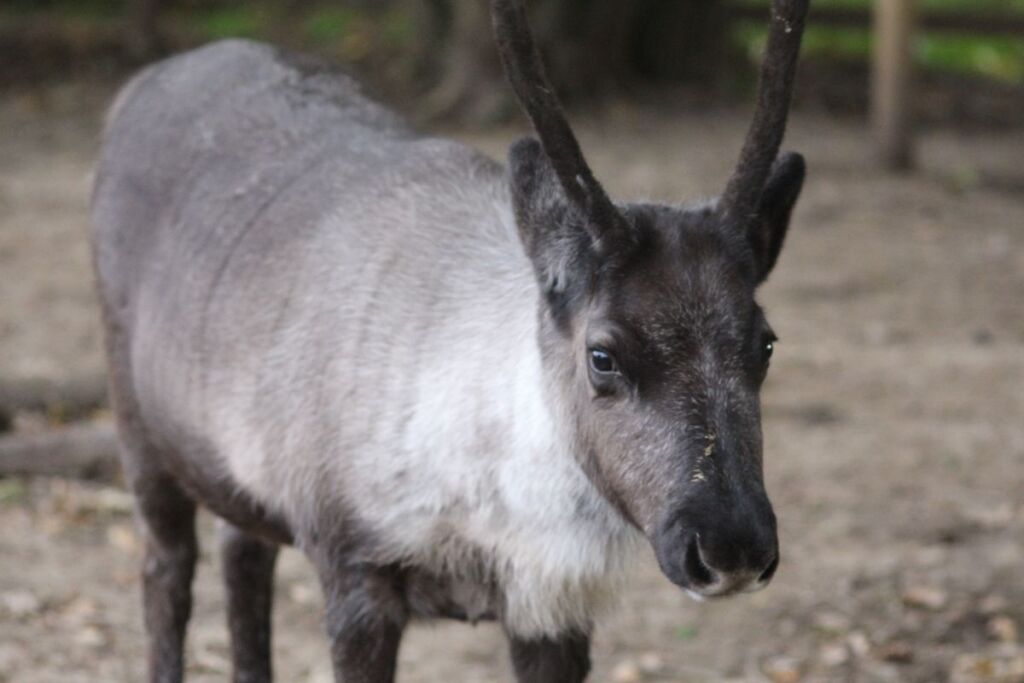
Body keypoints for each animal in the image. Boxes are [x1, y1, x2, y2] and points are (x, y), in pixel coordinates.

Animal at [89, 0, 809, 681]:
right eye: (602, 355)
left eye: (767, 344)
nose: (732, 547)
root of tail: (141, 85)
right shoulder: (356, 575)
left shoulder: (551, 609)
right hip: (139, 431)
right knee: (167, 572)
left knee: (242, 554)